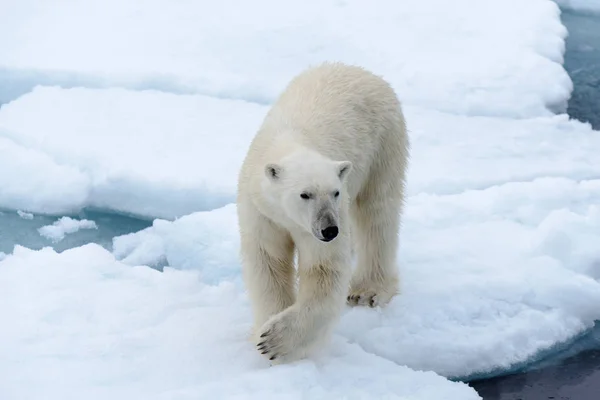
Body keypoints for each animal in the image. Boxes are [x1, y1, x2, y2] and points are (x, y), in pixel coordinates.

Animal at [237, 61, 410, 362]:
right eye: (304, 194)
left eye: (335, 192)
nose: (330, 230)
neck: (289, 141)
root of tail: (361, 70)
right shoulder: (261, 212)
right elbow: (268, 262)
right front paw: (264, 329)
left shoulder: (323, 220)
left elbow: (323, 271)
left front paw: (274, 341)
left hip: (384, 144)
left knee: (377, 214)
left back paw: (368, 291)